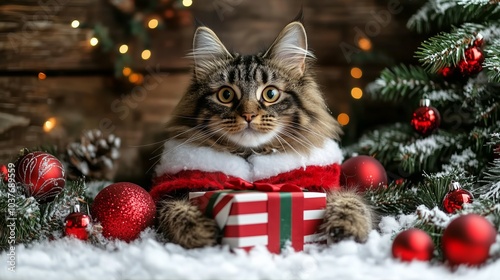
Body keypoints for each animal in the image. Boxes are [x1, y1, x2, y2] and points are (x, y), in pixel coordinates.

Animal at [150, 20, 374, 249]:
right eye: (225, 94)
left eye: (271, 93)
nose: (248, 115)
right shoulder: (166, 194)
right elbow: (175, 209)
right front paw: (199, 231)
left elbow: (352, 201)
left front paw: (347, 228)